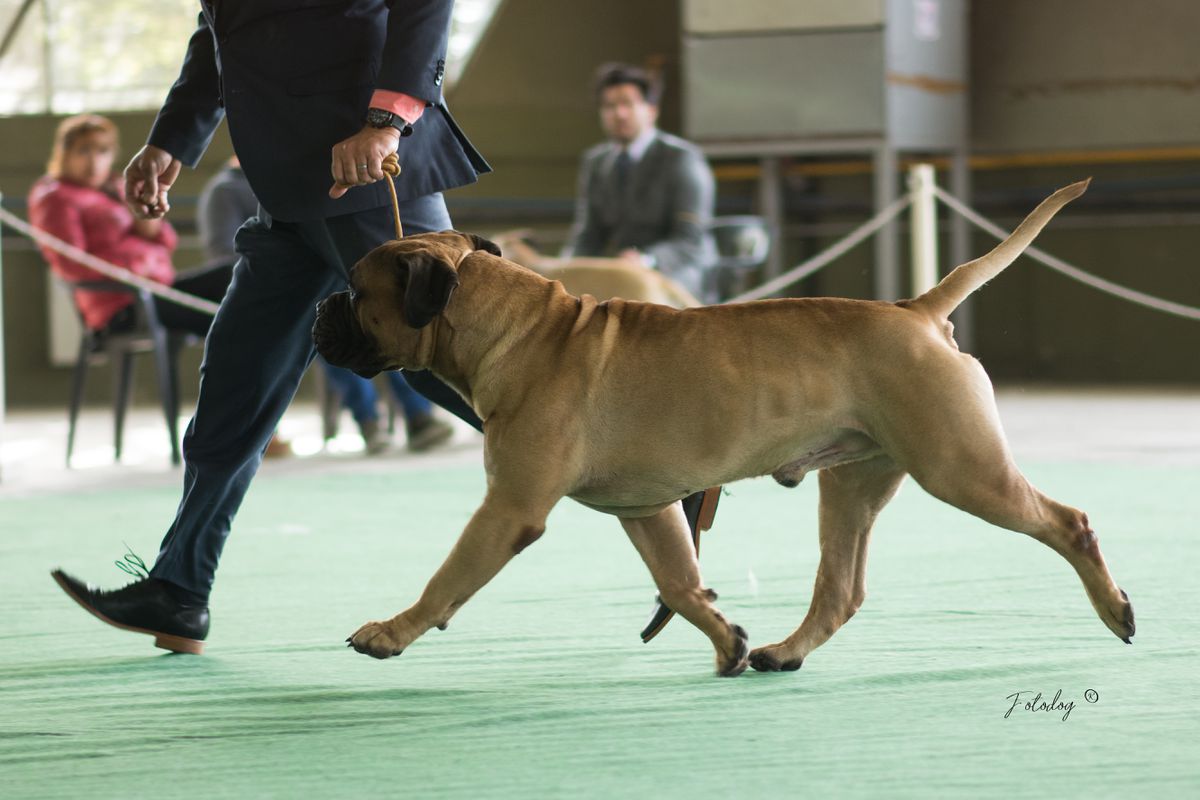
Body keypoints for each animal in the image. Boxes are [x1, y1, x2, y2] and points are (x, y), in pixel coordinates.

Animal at [312, 181, 1132, 676]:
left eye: (356, 291)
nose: (321, 309)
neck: (516, 327)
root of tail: (918, 310)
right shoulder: (648, 510)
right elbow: (679, 583)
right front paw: (726, 639)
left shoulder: (508, 508)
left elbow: (448, 576)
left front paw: (391, 631)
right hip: (854, 485)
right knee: (840, 588)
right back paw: (782, 651)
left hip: (962, 467)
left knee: (1069, 521)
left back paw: (1116, 611)